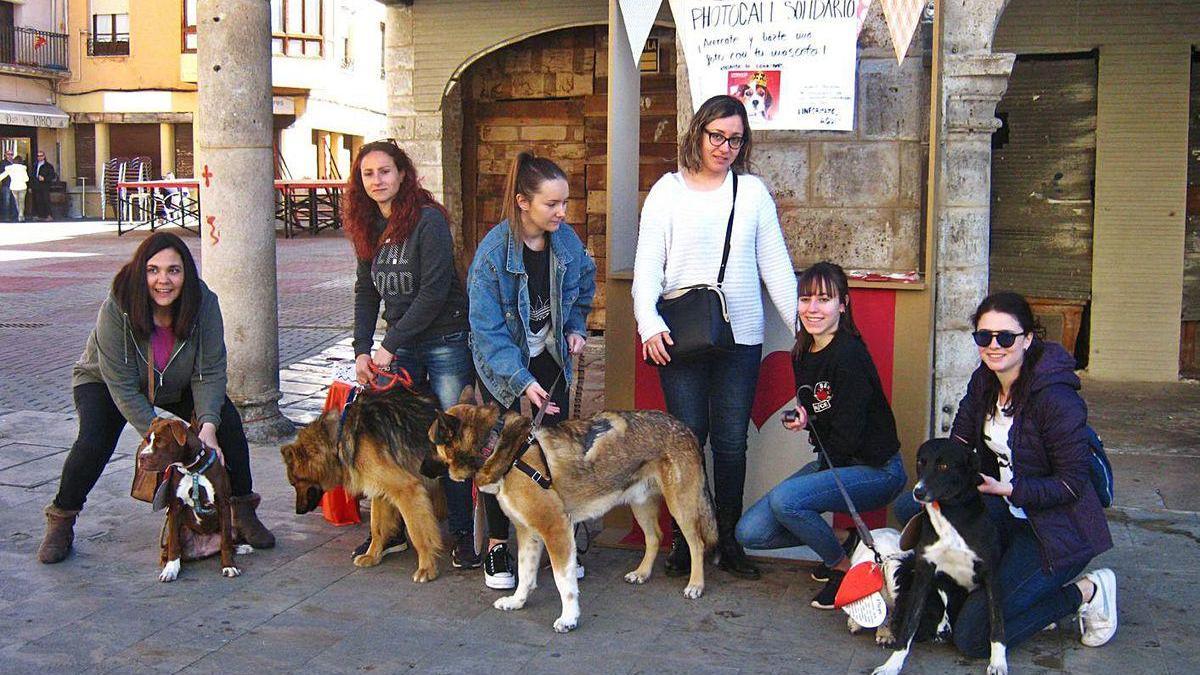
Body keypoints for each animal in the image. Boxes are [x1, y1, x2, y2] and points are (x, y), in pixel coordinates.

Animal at [279, 386, 446, 581]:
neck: (338, 437)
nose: (298, 511)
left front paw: (427, 567)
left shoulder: (407, 490)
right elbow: (377, 527)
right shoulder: (381, 489)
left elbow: (418, 533)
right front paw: (372, 555)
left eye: (295, 482)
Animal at [429, 386, 715, 634]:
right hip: (640, 502)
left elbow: (563, 582)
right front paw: (517, 601)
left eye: (432, 443)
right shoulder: (528, 533)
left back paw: (696, 584)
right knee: (655, 537)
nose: (422, 469)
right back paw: (642, 573)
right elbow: (525, 573)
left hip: (681, 506)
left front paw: (569, 618)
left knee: (697, 544)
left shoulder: (555, 530)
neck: (496, 445)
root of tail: (686, 428)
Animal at [873, 437, 1003, 672]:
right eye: (920, 462)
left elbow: (997, 623)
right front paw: (892, 665)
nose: (918, 492)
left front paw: (998, 663)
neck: (950, 515)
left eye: (944, 466)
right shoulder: (924, 573)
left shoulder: (991, 574)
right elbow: (909, 623)